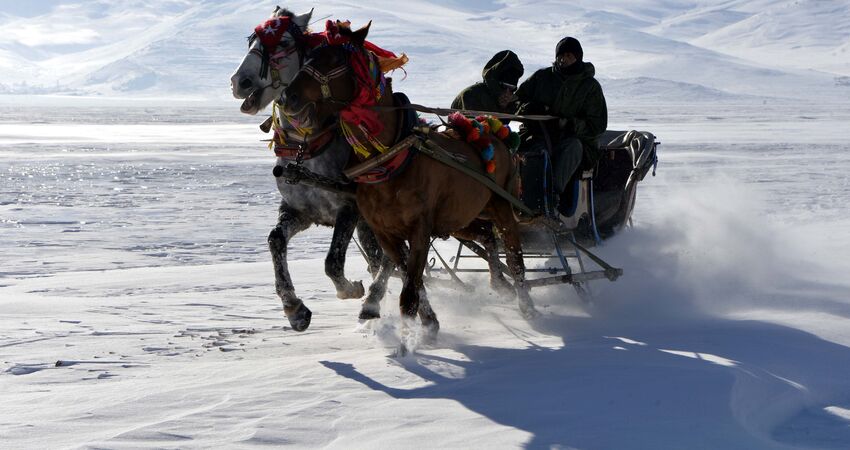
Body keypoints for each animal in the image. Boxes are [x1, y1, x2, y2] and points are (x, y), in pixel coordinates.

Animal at [229, 7, 380, 330]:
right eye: (251, 41)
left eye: (284, 43)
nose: (239, 82)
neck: (305, 149)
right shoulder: (300, 211)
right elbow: (275, 241)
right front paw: (294, 308)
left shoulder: (348, 207)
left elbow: (332, 262)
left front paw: (350, 289)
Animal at [284, 24, 536, 354]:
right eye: (309, 55)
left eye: (332, 59)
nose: (288, 96)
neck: (389, 158)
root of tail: (497, 134)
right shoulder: (386, 233)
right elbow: (410, 281)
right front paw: (427, 325)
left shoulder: (419, 230)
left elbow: (409, 293)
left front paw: (406, 348)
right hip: (461, 219)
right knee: (486, 239)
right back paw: (498, 282)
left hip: (502, 207)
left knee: (515, 255)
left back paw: (527, 305)